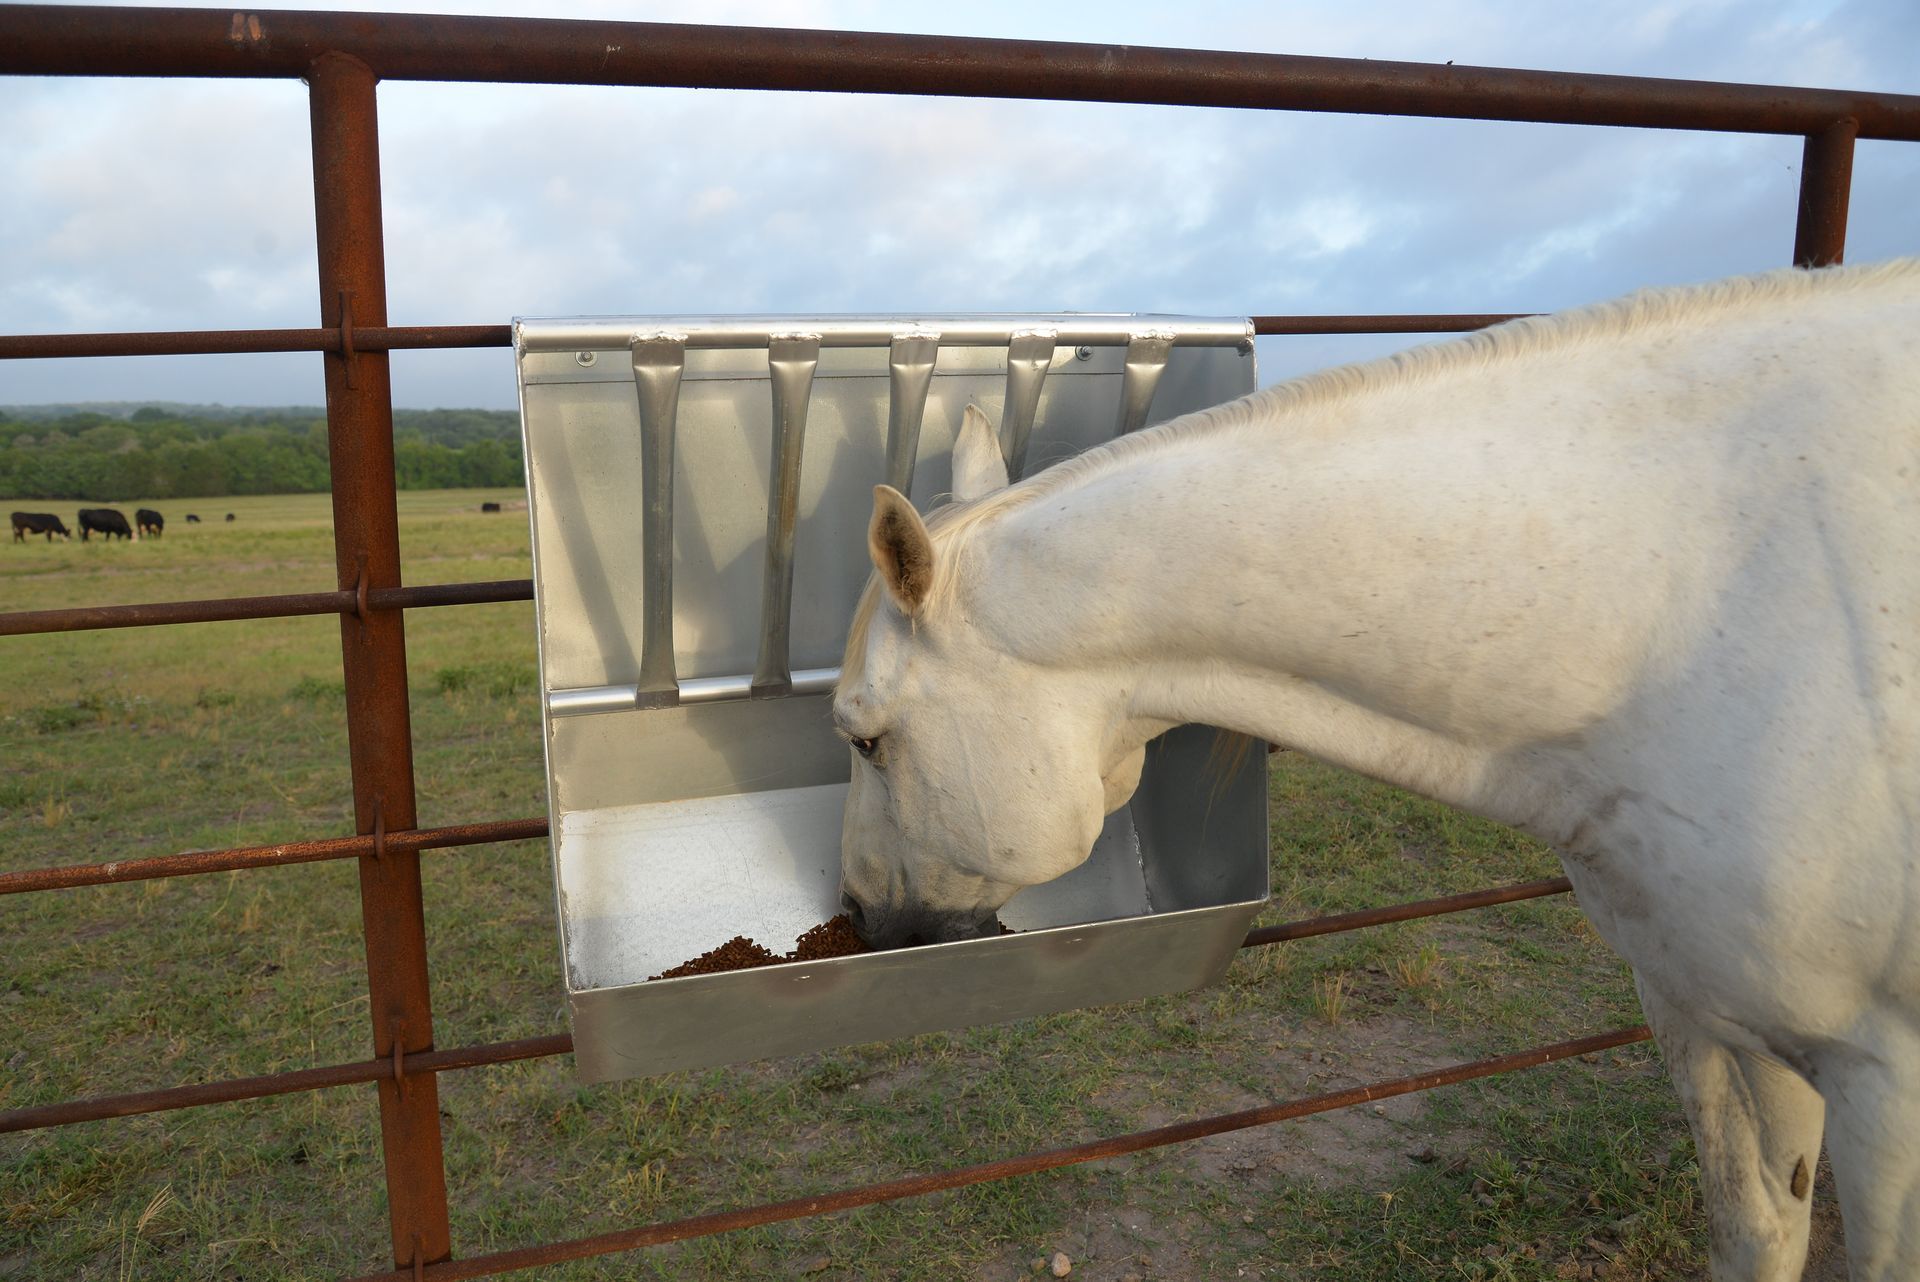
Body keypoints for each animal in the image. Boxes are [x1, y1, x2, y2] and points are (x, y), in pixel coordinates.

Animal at [835, 260, 1919, 1280]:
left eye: (864, 738)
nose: (862, 919)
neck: (1678, 603)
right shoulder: (1706, 1008)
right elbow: (1756, 1230)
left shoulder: (1886, 1086)